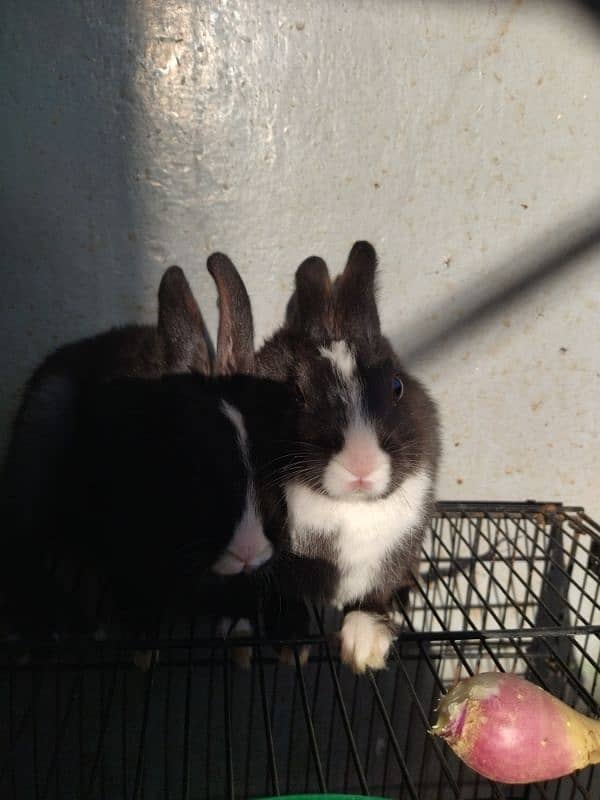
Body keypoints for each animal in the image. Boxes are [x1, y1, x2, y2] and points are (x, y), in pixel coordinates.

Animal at [254, 241, 440, 672]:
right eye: (296, 393)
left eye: (397, 386)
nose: (361, 465)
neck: (349, 510)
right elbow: (283, 598)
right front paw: (289, 642)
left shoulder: (392, 557)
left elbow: (373, 598)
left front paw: (366, 645)